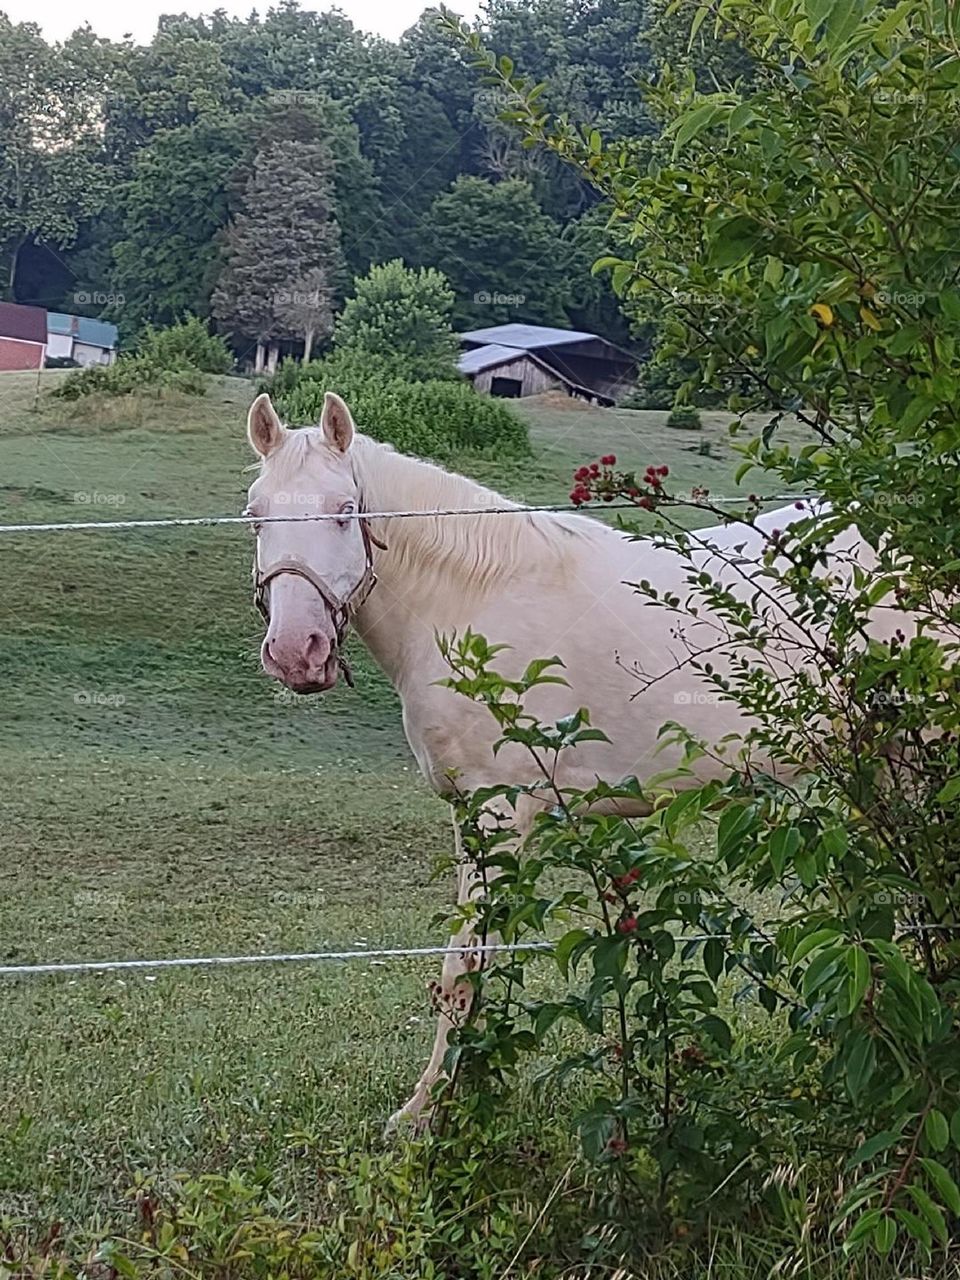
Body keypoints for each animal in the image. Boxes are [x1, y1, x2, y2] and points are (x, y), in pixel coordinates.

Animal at [242, 390, 865, 1128]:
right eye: (255, 514)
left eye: (345, 510)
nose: (295, 652)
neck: (471, 599)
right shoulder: (471, 814)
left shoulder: (497, 814)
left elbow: (463, 964)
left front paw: (427, 1113)